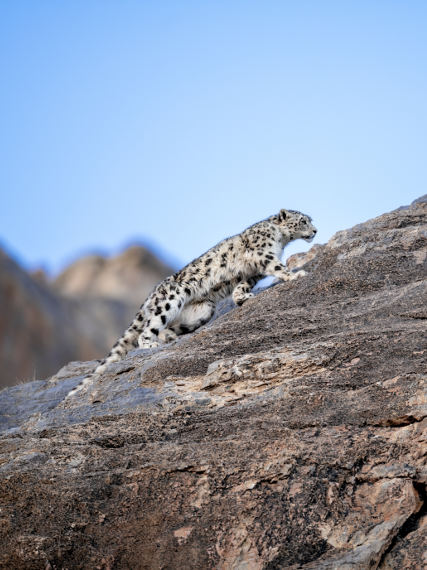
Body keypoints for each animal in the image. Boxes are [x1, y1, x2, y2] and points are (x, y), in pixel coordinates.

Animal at [65, 206, 316, 398]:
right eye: (303, 220)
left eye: (310, 220)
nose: (316, 230)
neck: (280, 240)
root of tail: (151, 295)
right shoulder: (264, 255)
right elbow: (278, 268)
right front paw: (296, 274)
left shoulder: (253, 274)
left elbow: (242, 285)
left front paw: (242, 297)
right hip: (172, 298)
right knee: (146, 330)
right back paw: (151, 343)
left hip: (203, 310)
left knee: (170, 327)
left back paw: (170, 337)